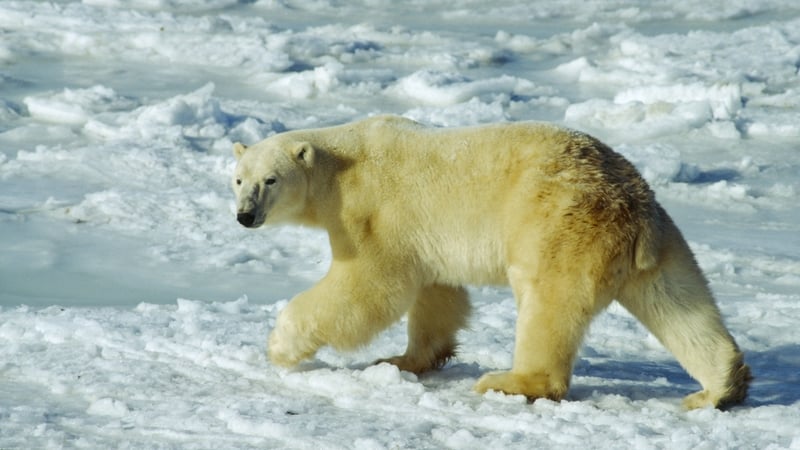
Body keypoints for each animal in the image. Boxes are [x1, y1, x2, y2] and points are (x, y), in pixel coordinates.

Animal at [230, 114, 752, 410]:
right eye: (237, 179)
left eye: (271, 179)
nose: (244, 215)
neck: (341, 166)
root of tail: (629, 203)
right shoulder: (423, 235)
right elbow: (436, 294)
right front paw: (402, 359)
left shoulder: (373, 214)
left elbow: (368, 288)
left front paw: (280, 346)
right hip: (658, 239)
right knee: (679, 301)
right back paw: (720, 387)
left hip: (557, 224)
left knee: (546, 303)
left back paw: (511, 381)